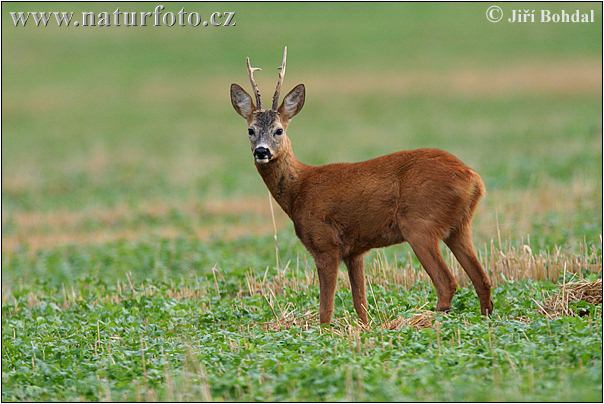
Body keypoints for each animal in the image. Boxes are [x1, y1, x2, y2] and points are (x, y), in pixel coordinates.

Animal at [229, 48, 494, 326]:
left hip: (420, 223)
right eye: (250, 130)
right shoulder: (355, 251)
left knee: (447, 282)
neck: (298, 190)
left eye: (279, 130)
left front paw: (325, 331)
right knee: (482, 279)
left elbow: (326, 309)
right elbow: (361, 305)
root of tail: (474, 178)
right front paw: (365, 328)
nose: (261, 151)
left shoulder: (325, 243)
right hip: (459, 226)